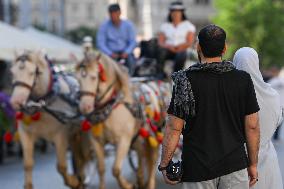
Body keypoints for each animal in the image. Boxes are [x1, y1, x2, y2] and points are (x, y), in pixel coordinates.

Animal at [9, 51, 86, 189]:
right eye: (12, 72)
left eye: (32, 73)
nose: (16, 102)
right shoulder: (25, 134)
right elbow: (28, 164)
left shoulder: (60, 136)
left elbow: (61, 166)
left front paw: (73, 181)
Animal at [75, 52, 168, 189]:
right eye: (78, 79)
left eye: (93, 77)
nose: (84, 107)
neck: (110, 108)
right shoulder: (96, 141)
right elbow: (101, 168)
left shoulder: (124, 140)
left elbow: (116, 169)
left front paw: (128, 185)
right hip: (139, 137)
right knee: (141, 155)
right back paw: (140, 179)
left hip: (155, 132)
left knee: (152, 158)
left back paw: (149, 183)